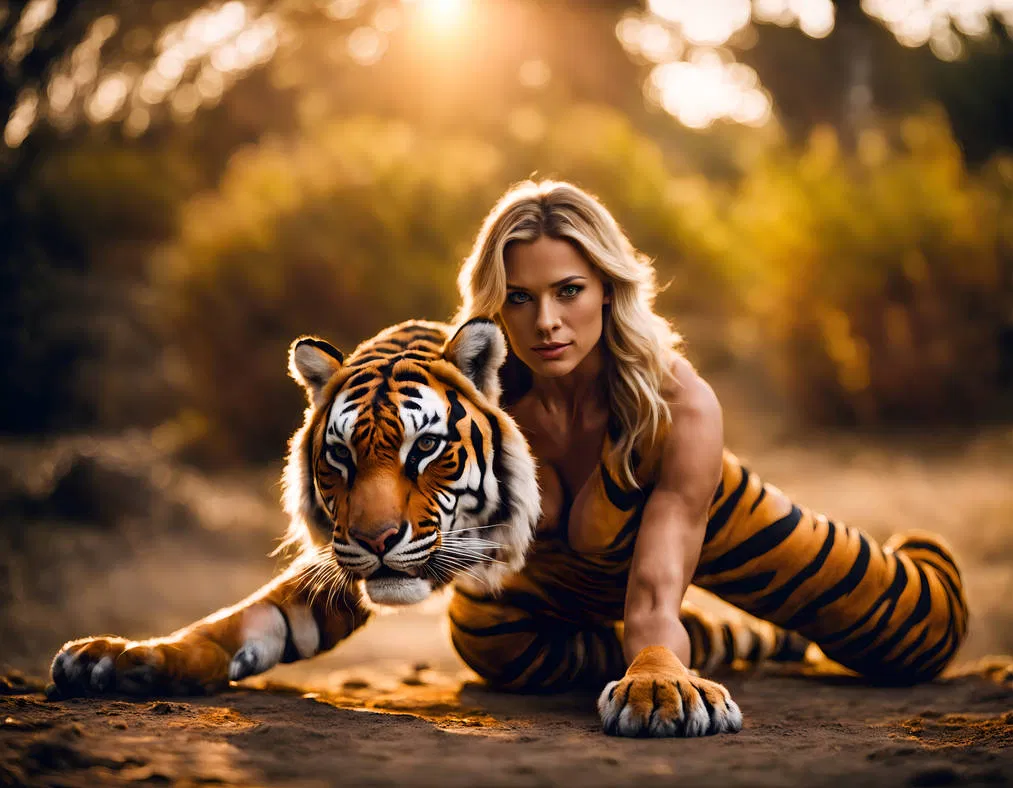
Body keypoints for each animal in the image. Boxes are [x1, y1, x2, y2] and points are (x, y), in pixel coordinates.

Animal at [51, 318, 967, 739]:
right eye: (339, 457)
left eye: (424, 448)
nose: (378, 539)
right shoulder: (345, 566)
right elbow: (247, 622)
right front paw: (122, 658)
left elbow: (656, 622)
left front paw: (658, 689)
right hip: (497, 627)